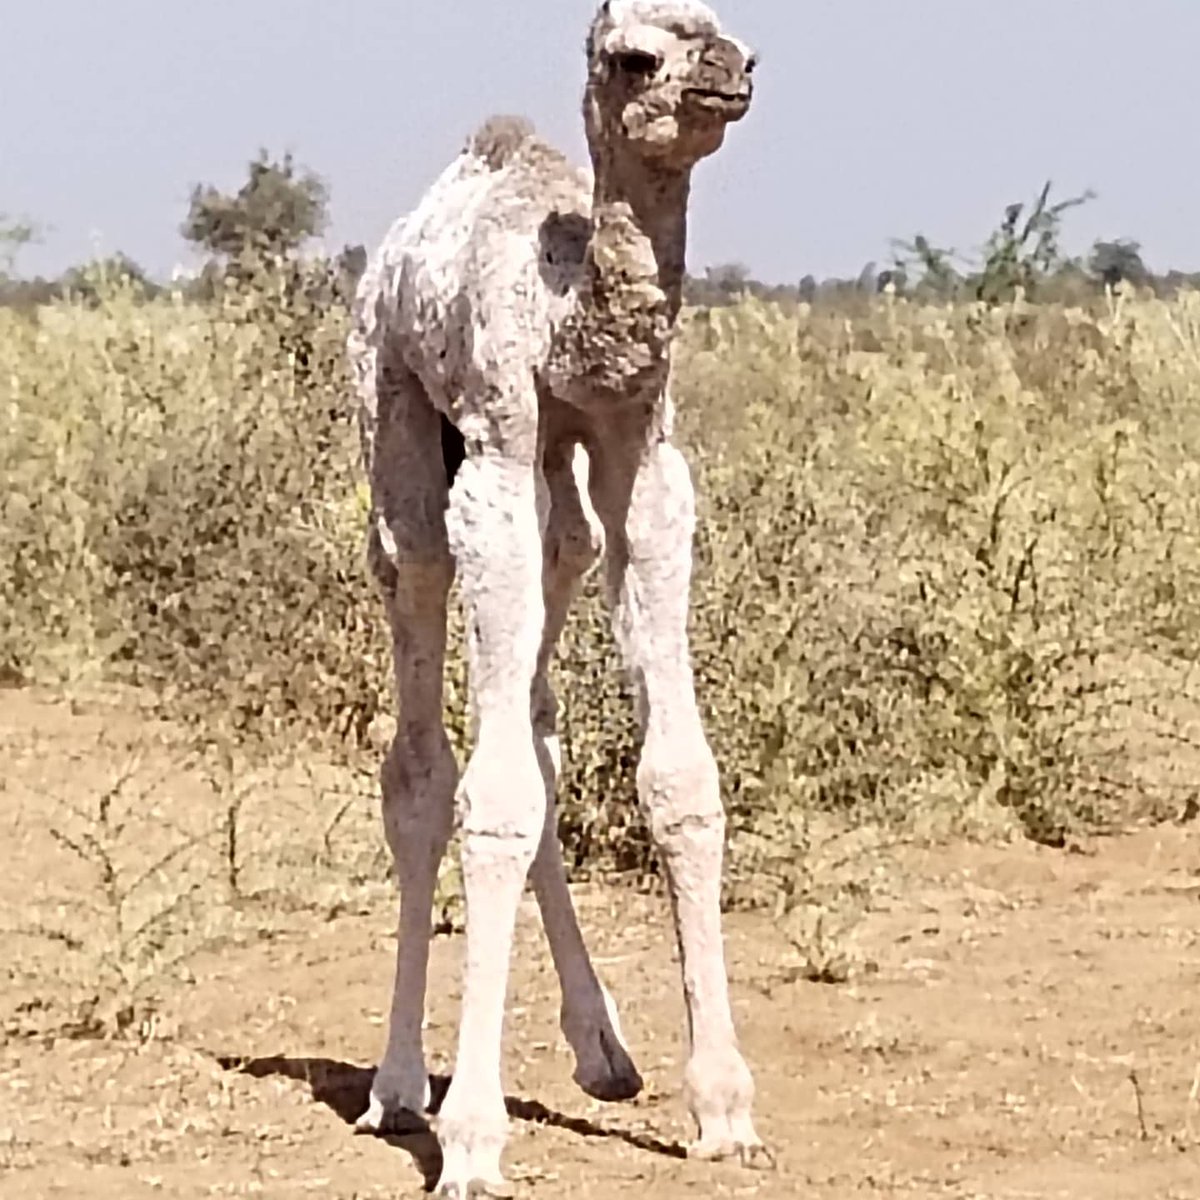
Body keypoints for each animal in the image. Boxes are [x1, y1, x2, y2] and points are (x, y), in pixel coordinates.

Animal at [348, 2, 765, 1193]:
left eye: (736, 36)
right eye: (634, 55)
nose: (728, 76)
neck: (568, 316)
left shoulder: (643, 464)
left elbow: (676, 779)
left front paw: (722, 1106)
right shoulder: (493, 453)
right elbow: (486, 801)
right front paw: (473, 1139)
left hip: (557, 521)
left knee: (537, 717)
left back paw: (605, 1054)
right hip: (398, 431)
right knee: (421, 758)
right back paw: (401, 1088)